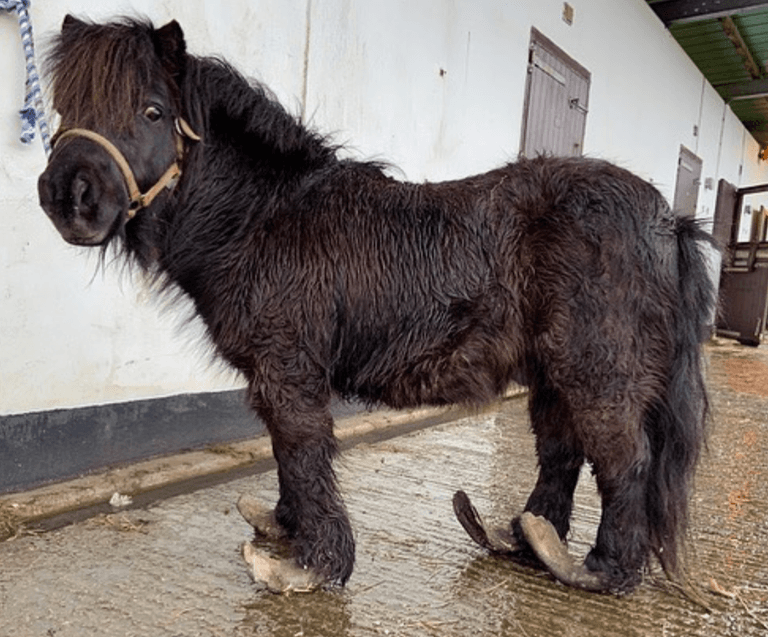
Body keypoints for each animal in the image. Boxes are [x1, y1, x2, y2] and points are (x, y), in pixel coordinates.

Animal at [37, 16, 714, 595]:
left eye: (152, 111)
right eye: (64, 109)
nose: (68, 197)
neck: (265, 216)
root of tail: (669, 221)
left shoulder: (289, 370)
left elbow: (303, 452)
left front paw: (312, 565)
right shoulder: (274, 376)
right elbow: (285, 454)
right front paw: (287, 531)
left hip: (597, 370)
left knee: (624, 458)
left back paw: (601, 571)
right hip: (553, 373)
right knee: (561, 452)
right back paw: (526, 538)